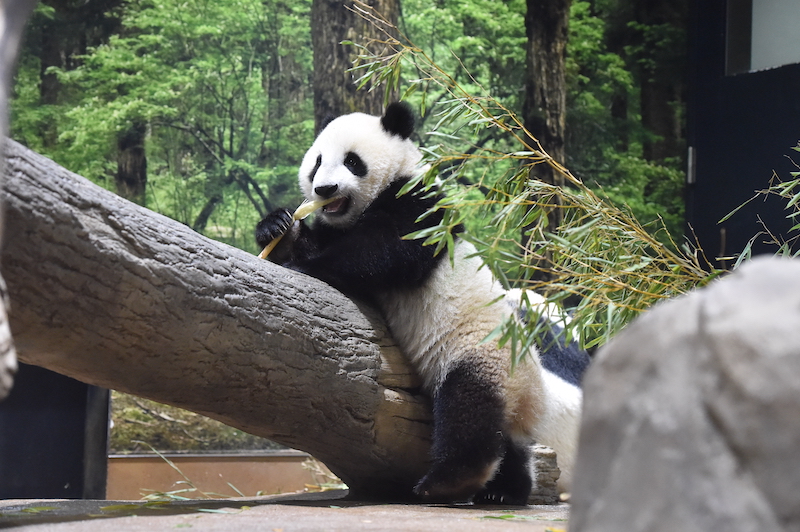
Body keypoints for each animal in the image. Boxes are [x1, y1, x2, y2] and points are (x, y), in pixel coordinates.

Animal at [256, 102, 588, 504]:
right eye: (317, 163)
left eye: (352, 161)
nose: (324, 188)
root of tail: (532, 399)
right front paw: (279, 228)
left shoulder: (421, 208)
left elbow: (378, 253)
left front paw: (304, 265)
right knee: (510, 447)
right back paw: (504, 492)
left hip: (482, 355)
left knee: (469, 412)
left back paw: (445, 482)